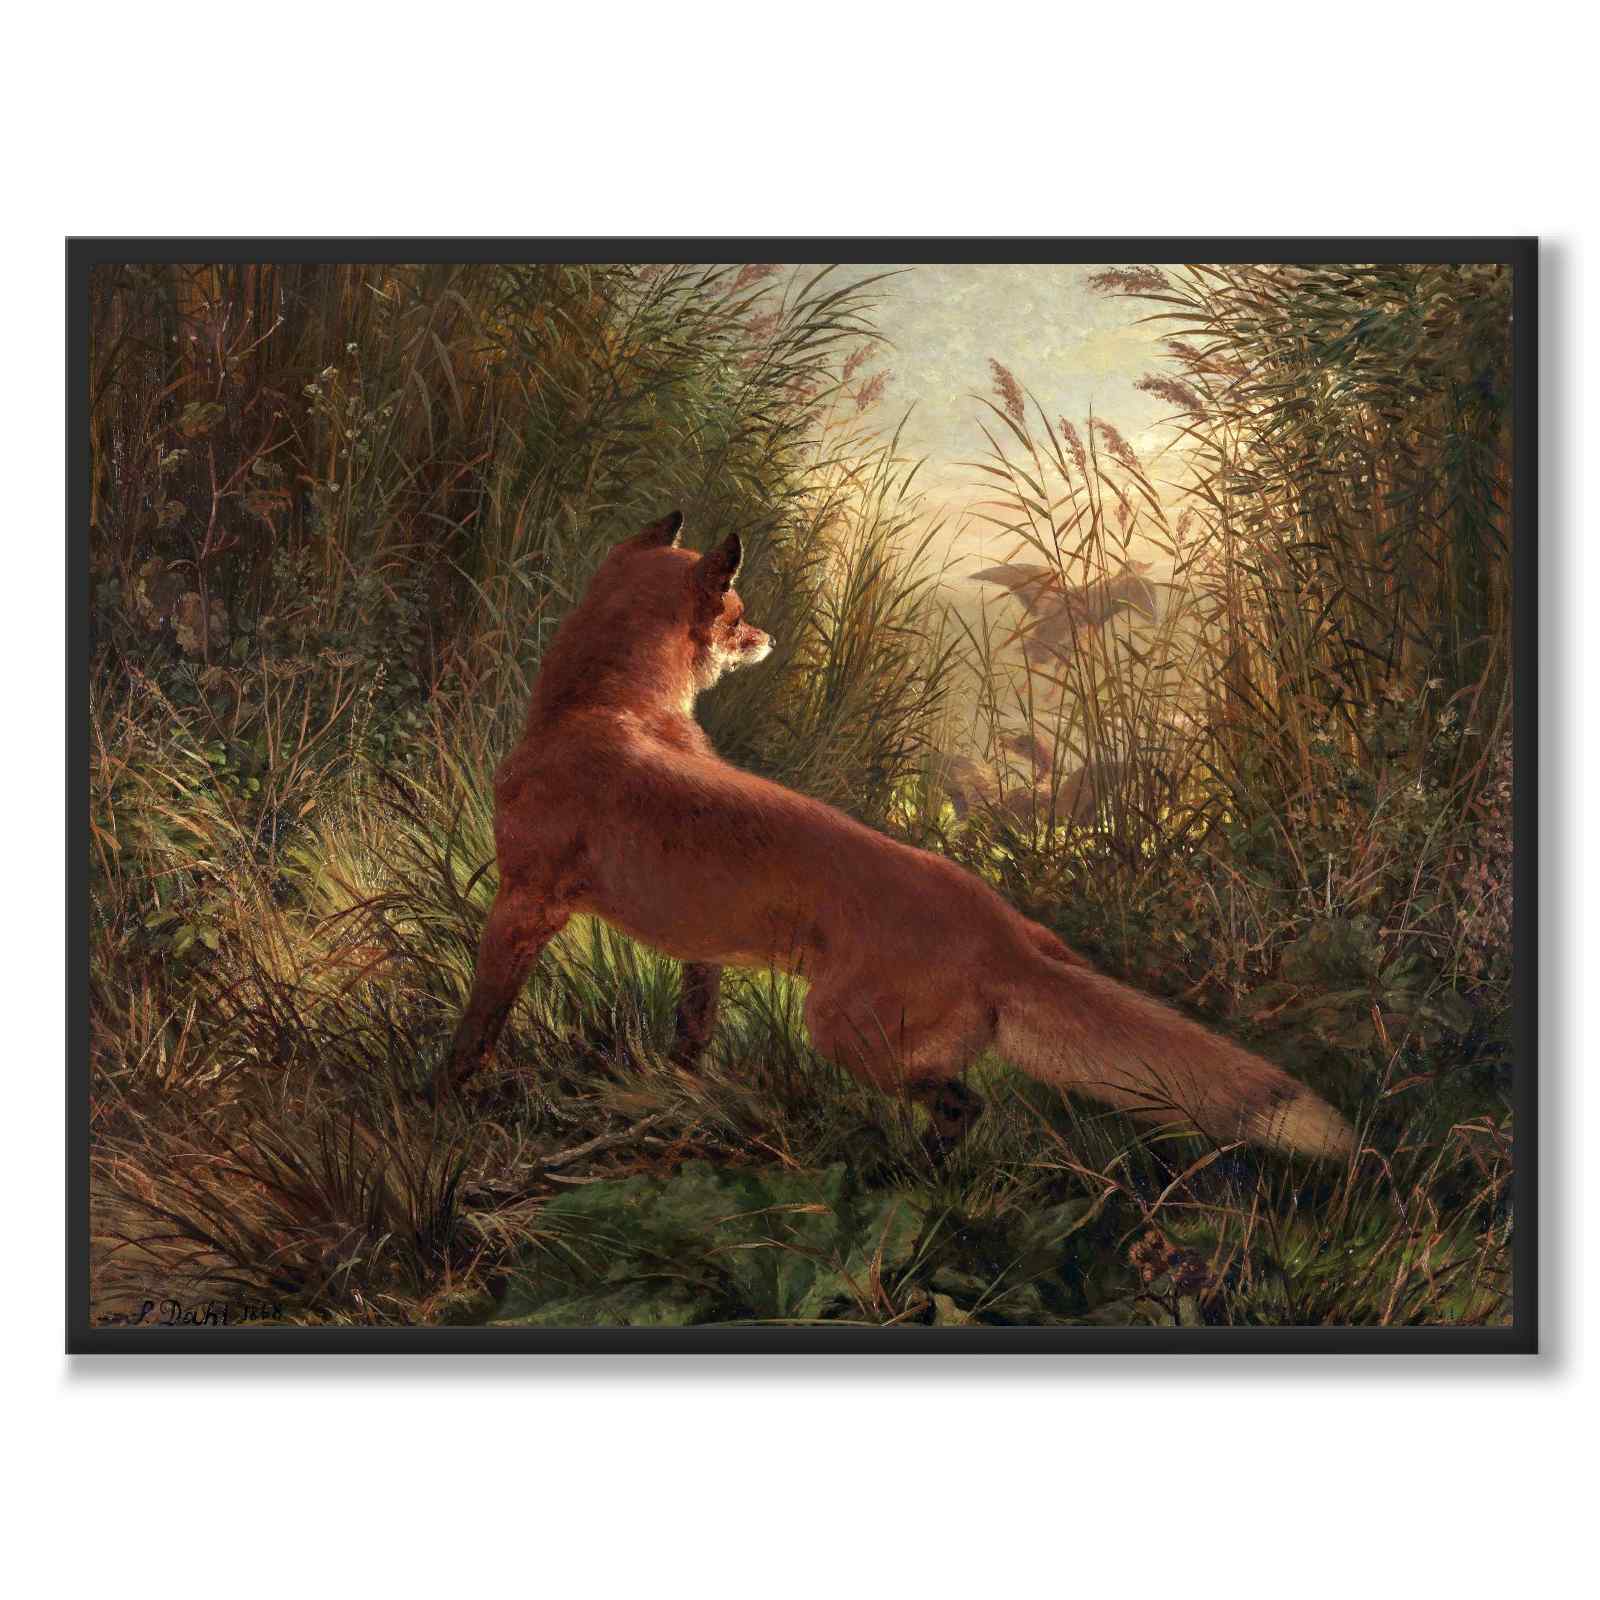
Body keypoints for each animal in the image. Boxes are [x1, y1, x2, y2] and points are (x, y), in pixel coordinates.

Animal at [438, 510, 1356, 1162]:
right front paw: (678, 1092)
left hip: (841, 1031)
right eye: (737, 613)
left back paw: (909, 1172)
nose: (769, 635)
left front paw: (441, 1103)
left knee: (965, 1103)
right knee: (966, 1101)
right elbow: (690, 1035)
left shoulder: (523, 903)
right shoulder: (701, 949)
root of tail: (1002, 932)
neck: (603, 710)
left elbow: (477, 1027)